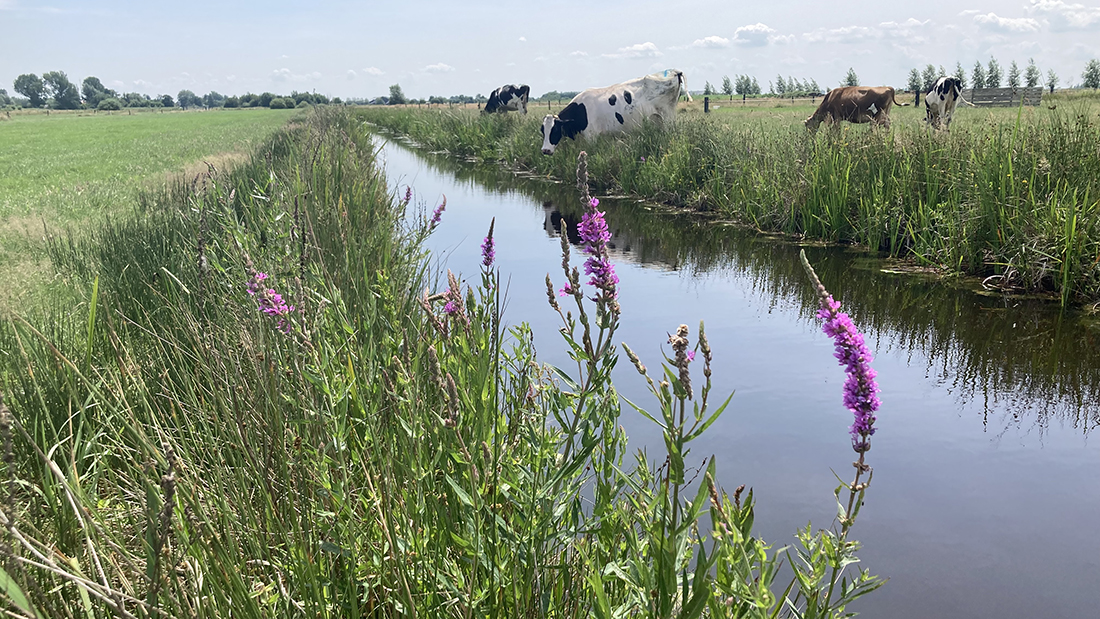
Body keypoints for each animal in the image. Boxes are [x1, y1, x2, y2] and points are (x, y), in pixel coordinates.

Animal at [539, 69, 690, 155]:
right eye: (543, 131)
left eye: (555, 130)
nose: (545, 150)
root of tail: (674, 72)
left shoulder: (591, 136)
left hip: (668, 117)